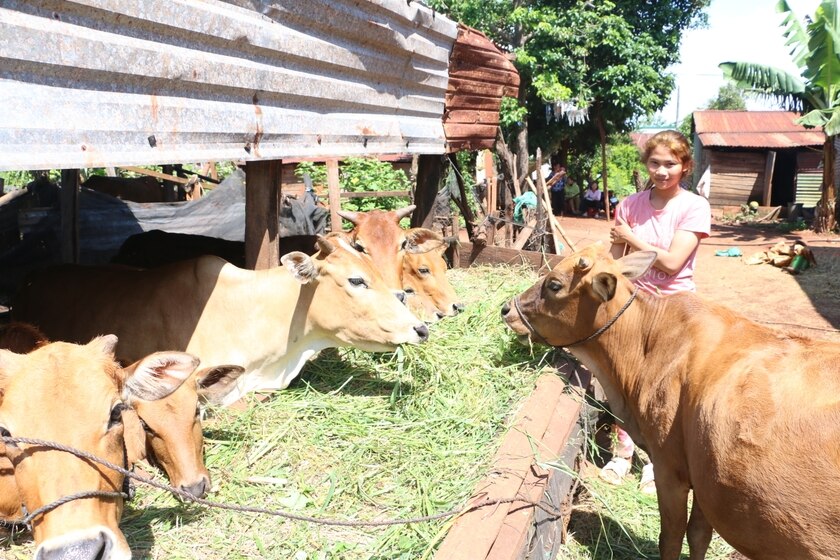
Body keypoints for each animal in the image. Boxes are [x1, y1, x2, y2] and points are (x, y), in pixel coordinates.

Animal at [502, 244, 840, 560]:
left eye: (554, 284)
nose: (506, 309)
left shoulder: (670, 468)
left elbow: (672, 536)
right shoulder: (707, 474)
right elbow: (699, 534)